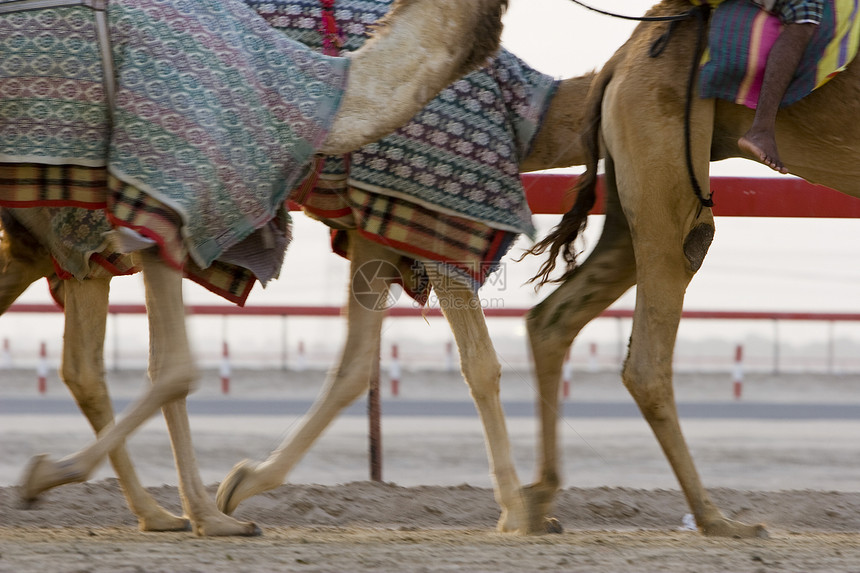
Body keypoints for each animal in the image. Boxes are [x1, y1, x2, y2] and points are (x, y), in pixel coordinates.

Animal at [516, 0, 860, 536]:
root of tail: (618, 62)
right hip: (664, 153)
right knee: (649, 352)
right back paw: (718, 519)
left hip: (629, 187)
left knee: (552, 317)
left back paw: (538, 503)